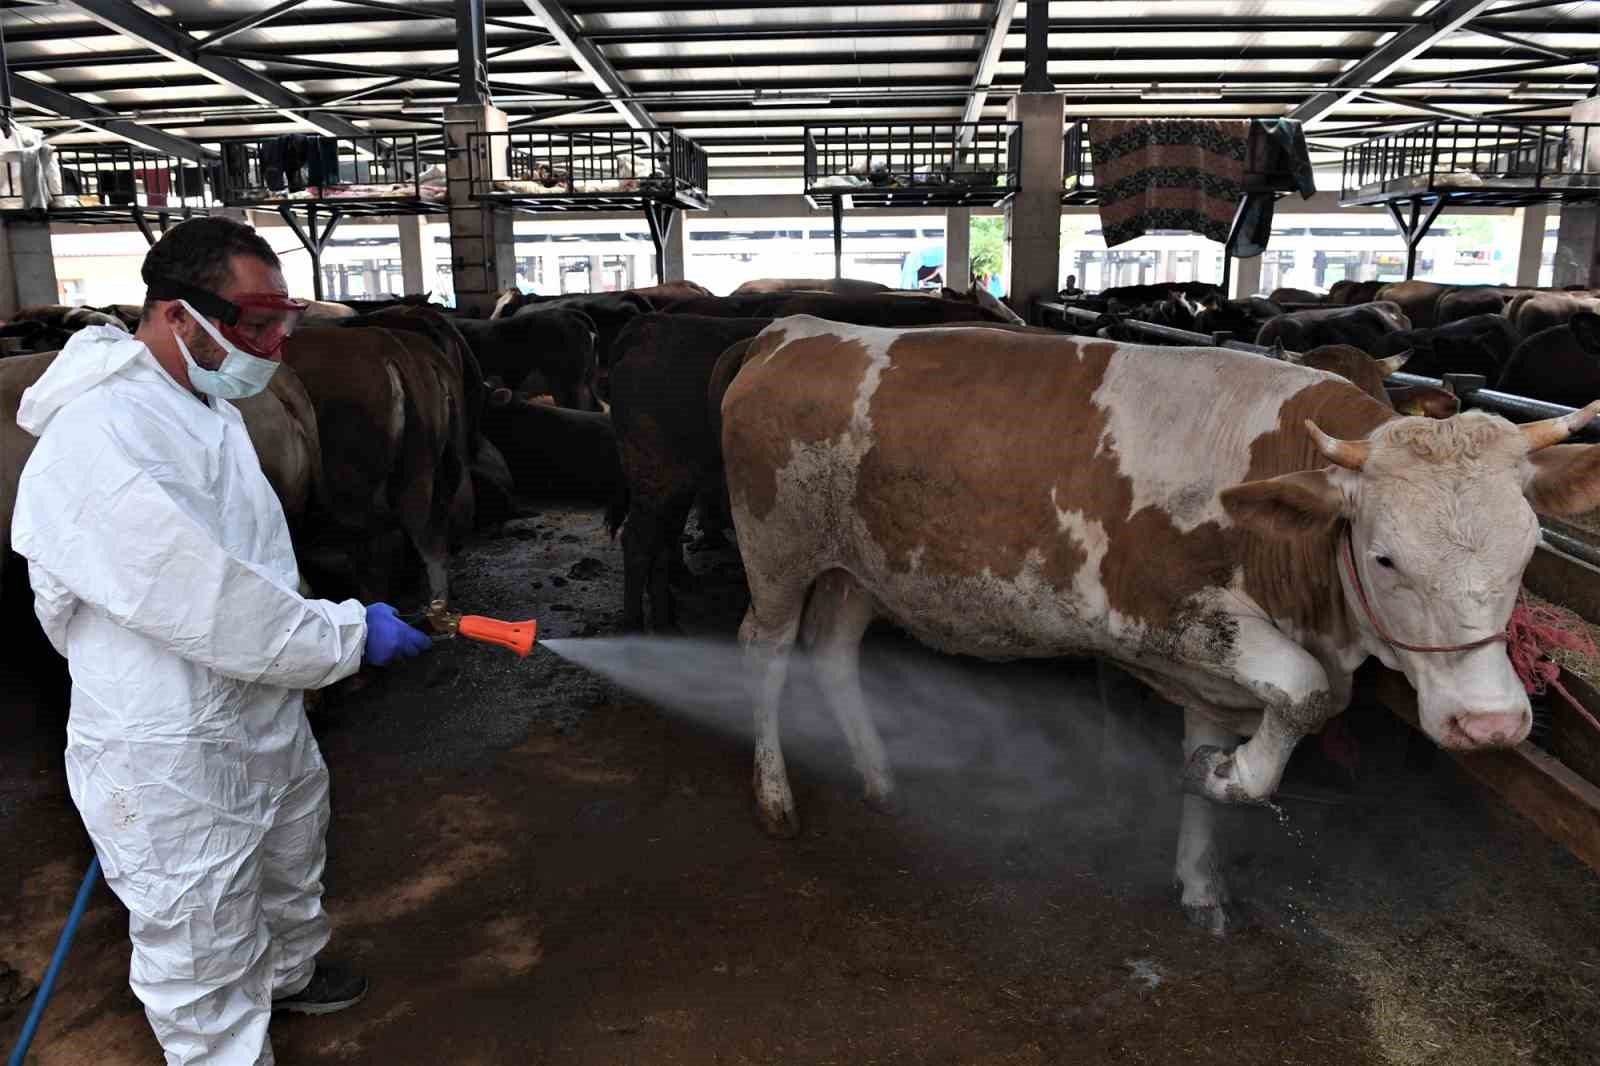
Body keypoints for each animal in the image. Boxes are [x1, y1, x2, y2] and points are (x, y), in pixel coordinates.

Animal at [723, 313, 1600, 928]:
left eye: (1529, 547)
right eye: (1384, 558)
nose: (1489, 723)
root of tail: (790, 328)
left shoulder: (1216, 667)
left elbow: (1232, 731)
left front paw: (1202, 871)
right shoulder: (1163, 613)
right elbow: (1309, 694)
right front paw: (1227, 774)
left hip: (858, 568)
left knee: (833, 651)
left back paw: (877, 773)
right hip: (777, 550)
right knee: (764, 652)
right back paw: (774, 798)